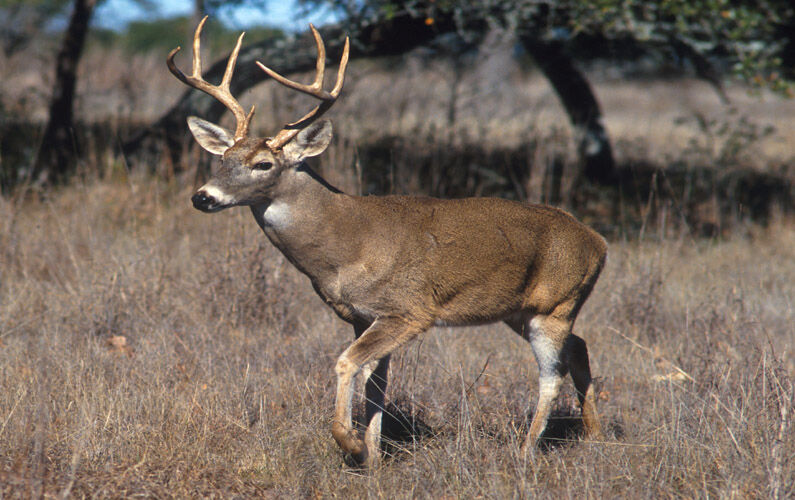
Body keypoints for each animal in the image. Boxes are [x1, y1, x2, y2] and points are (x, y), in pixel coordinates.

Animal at [169, 17, 608, 468]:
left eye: (263, 164)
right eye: (223, 159)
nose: (203, 197)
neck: (346, 246)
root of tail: (598, 242)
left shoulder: (408, 310)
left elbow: (348, 364)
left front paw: (350, 443)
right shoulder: (362, 316)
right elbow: (376, 382)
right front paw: (375, 457)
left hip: (556, 304)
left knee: (551, 373)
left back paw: (525, 449)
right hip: (520, 311)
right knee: (579, 347)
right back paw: (594, 435)